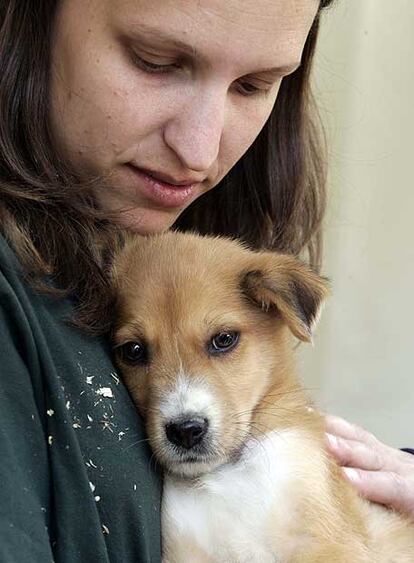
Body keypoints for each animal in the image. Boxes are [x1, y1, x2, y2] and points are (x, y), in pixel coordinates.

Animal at [110, 230, 414, 563]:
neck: (226, 472)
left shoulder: (328, 542)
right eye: (134, 350)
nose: (185, 431)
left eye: (224, 339)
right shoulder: (185, 552)